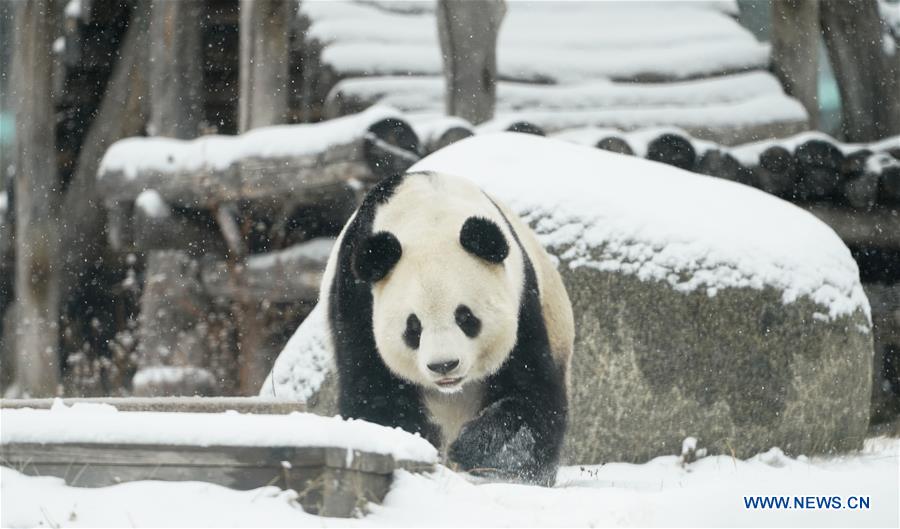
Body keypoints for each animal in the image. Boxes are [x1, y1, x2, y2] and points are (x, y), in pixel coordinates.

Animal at [320, 170, 574, 485]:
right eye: (413, 327)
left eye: (465, 317)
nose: (444, 365)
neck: (429, 214)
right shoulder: (357, 301)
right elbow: (375, 389)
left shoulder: (525, 300)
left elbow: (529, 390)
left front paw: (480, 451)